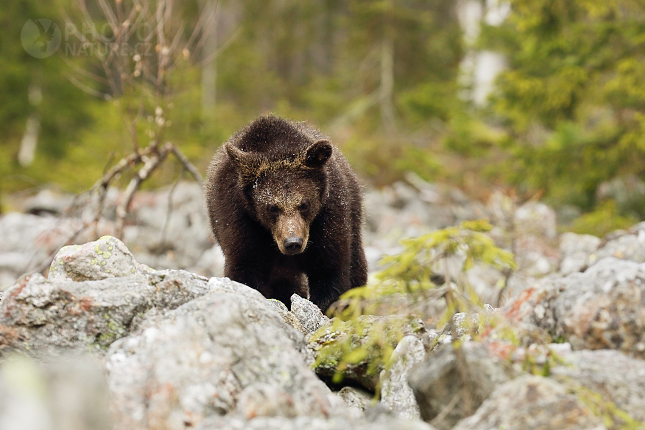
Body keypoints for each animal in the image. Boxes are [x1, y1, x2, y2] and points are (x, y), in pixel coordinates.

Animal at [206, 112, 368, 310]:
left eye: (304, 204)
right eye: (272, 208)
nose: (293, 242)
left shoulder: (328, 214)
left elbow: (330, 269)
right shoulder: (238, 217)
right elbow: (246, 268)